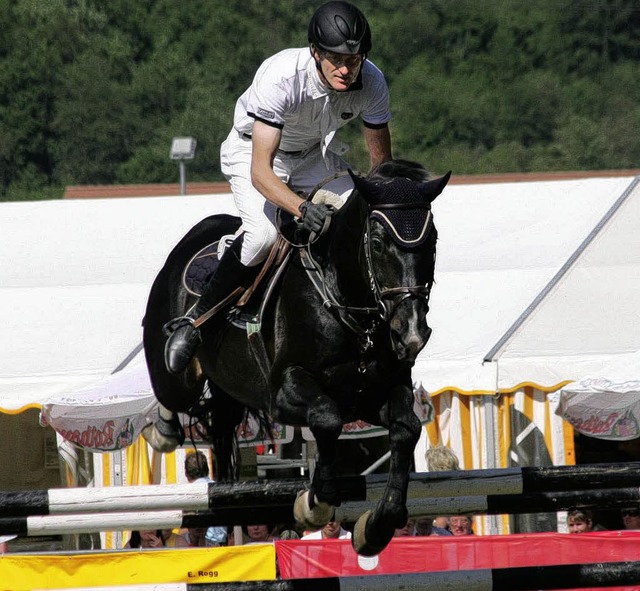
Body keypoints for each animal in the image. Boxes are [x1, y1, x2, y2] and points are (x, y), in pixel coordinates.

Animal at [144, 158, 450, 556]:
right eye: (378, 243)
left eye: (433, 240)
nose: (411, 331)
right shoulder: (285, 393)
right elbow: (327, 418)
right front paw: (315, 503)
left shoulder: (376, 393)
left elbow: (405, 429)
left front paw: (377, 525)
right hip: (178, 375)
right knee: (171, 392)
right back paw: (166, 417)